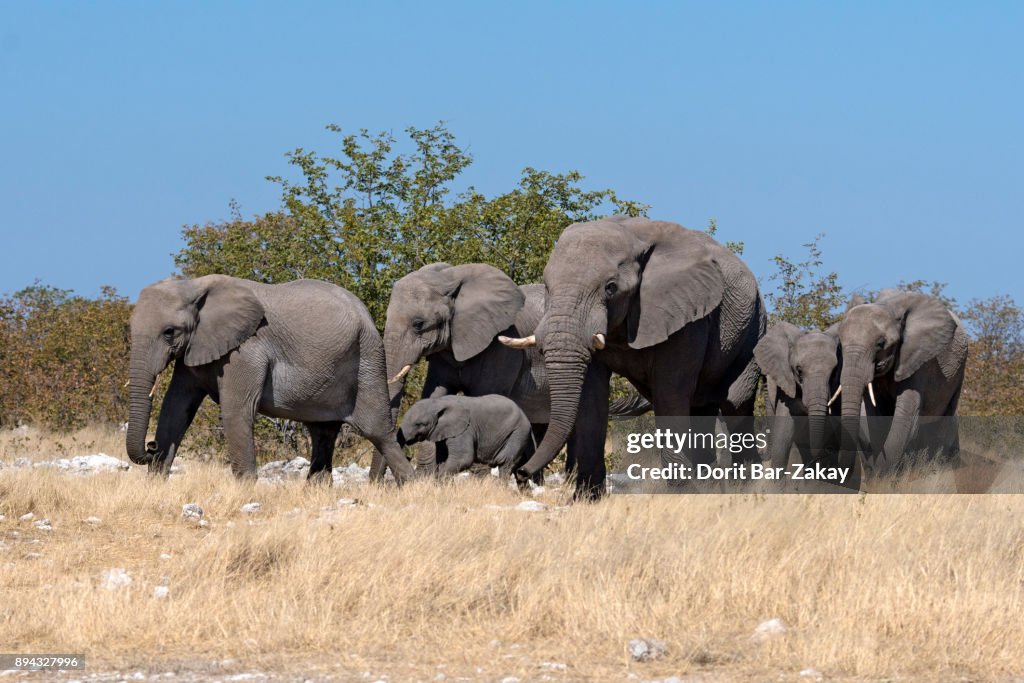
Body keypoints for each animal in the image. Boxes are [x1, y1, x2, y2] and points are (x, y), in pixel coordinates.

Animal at [125, 274, 413, 483]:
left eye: (169, 332)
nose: (151, 447)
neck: (194, 285)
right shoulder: (194, 348)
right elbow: (175, 409)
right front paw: (154, 485)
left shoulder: (246, 350)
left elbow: (236, 410)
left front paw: (244, 490)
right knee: (323, 432)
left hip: (368, 358)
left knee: (377, 431)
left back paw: (411, 486)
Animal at [393, 395, 532, 481]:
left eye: (419, 424)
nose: (409, 456)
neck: (438, 402)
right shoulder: (444, 431)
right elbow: (441, 458)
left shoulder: (465, 430)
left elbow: (464, 458)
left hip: (519, 433)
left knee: (505, 462)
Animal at [499, 214, 765, 497]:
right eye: (548, 287)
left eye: (610, 287)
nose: (522, 472)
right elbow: (592, 395)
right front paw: (586, 498)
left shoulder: (687, 316)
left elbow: (670, 391)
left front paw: (681, 493)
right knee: (701, 407)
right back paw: (711, 487)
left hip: (753, 329)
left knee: (736, 403)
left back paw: (748, 487)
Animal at [831, 288, 966, 475]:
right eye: (840, 345)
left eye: (881, 343)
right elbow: (876, 417)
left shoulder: (917, 361)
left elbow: (907, 419)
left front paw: (884, 475)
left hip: (957, 375)